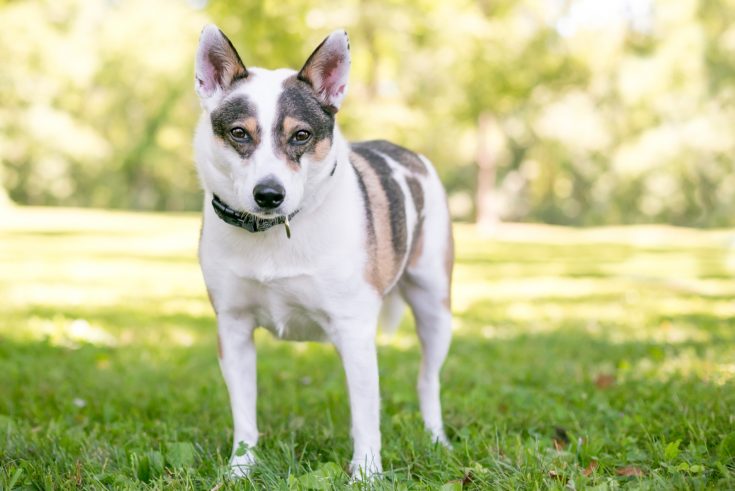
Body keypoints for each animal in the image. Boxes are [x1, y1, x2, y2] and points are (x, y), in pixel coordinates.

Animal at [193, 24, 452, 480]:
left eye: (301, 135)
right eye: (240, 133)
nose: (269, 195)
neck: (275, 232)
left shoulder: (354, 330)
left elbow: (365, 417)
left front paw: (367, 474)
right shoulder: (233, 328)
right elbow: (244, 413)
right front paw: (240, 468)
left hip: (435, 308)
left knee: (427, 380)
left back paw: (436, 437)